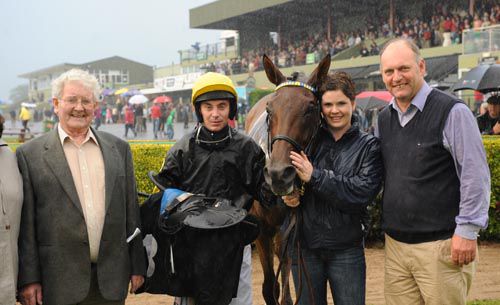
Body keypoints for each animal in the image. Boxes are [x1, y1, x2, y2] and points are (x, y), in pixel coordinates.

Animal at [246, 53, 332, 302]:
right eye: (269, 110)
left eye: (310, 108)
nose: (278, 174)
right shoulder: (261, 230)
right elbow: (269, 288)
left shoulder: (290, 231)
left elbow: (285, 294)